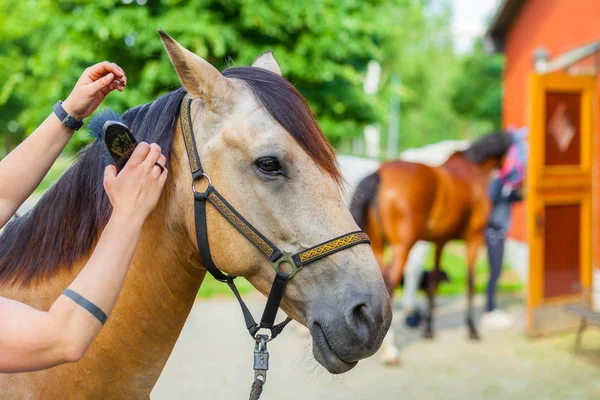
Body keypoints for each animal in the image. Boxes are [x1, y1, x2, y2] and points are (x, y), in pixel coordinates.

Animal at [352, 133, 510, 364]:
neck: (473, 169)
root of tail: (379, 173)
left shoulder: (439, 242)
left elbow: (434, 282)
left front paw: (428, 331)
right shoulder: (474, 239)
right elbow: (471, 281)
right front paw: (472, 329)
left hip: (379, 248)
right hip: (402, 248)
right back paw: (390, 351)